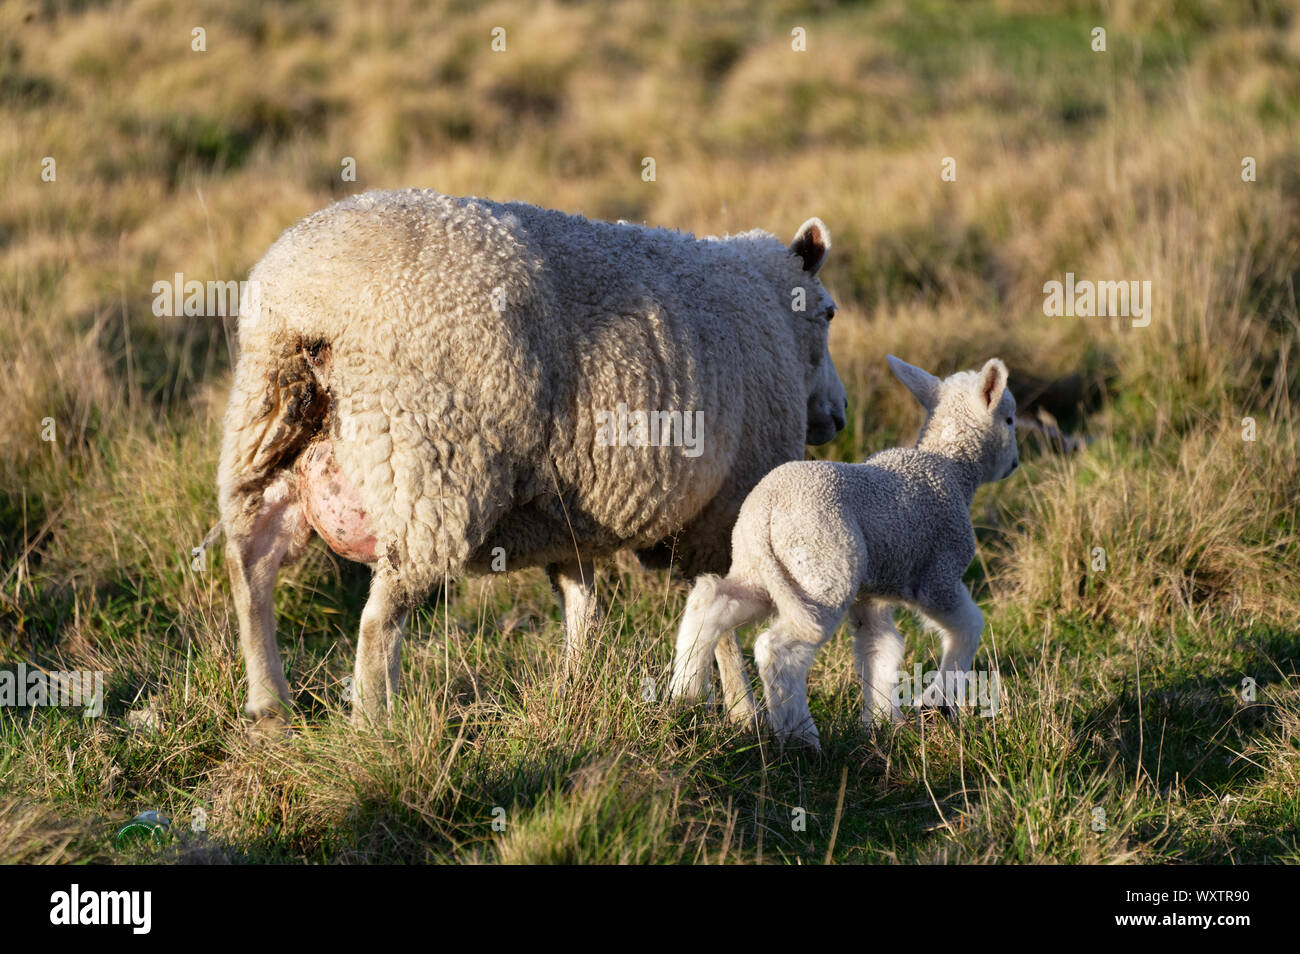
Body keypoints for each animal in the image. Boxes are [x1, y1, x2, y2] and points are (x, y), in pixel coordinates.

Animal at [217, 188, 847, 730]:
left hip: (264, 426)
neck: (773, 311)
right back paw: (374, 726)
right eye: (831, 313)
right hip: (430, 468)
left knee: (252, 565)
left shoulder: (568, 523)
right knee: (377, 622)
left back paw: (269, 706)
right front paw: (746, 715)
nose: (839, 416)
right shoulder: (723, 512)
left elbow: (581, 606)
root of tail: (311, 300)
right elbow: (721, 625)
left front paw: (577, 685)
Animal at [668, 355, 1019, 750]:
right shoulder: (937, 575)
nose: (1015, 464)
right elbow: (969, 626)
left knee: (711, 600)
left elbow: (880, 648)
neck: (951, 469)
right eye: (1009, 419)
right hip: (822, 569)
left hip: (766, 570)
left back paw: (684, 690)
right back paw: (801, 737)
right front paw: (938, 703)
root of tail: (765, 512)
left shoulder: (873, 593)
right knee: (776, 649)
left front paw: (880, 724)